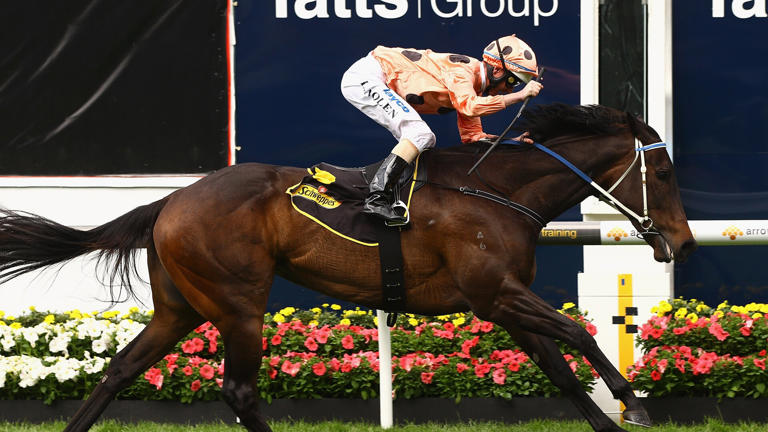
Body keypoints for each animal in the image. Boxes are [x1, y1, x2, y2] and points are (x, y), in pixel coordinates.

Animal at [0, 103, 696, 430]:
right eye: (663, 173)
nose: (684, 244)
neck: (495, 192)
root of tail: (170, 199)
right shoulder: (495, 292)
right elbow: (578, 332)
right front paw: (635, 403)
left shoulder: (501, 300)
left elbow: (560, 369)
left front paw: (612, 413)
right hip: (237, 305)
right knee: (239, 390)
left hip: (180, 308)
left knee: (118, 371)